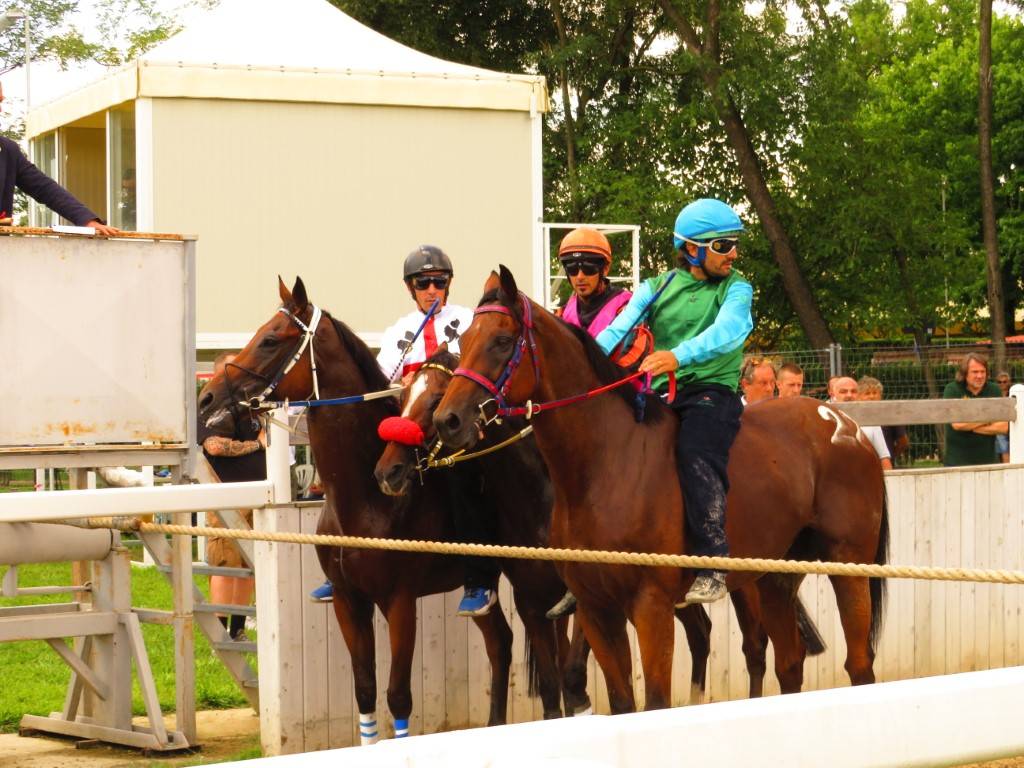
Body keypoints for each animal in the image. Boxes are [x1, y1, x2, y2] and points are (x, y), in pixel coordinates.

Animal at [197, 280, 520, 741]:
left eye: (271, 339)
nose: (207, 397)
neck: (368, 496)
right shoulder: (349, 602)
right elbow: (365, 690)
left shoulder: (400, 602)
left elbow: (398, 696)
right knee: (501, 644)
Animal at [434, 270, 888, 716]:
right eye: (464, 339)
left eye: (501, 340)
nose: (447, 420)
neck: (607, 464)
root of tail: (846, 425)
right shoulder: (596, 611)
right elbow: (621, 702)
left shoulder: (651, 606)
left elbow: (654, 701)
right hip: (775, 576)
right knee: (790, 664)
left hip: (848, 564)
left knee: (858, 665)